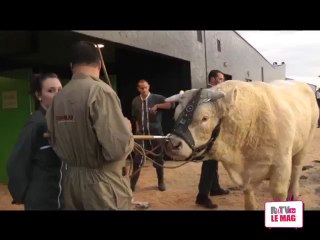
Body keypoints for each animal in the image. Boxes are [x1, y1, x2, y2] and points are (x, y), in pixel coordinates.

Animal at [164, 79, 318, 209]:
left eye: (204, 118)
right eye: (175, 116)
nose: (173, 144)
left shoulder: (281, 164)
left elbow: (279, 193)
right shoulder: (246, 175)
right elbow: (249, 197)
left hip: (306, 141)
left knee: (297, 168)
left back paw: (293, 192)